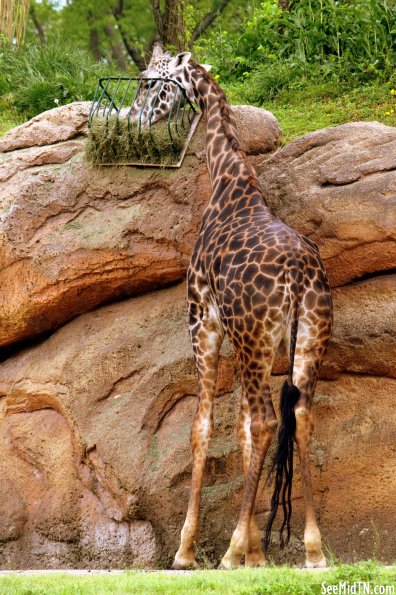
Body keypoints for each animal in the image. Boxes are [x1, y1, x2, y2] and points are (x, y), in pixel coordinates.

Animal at [138, 44, 332, 572]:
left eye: (149, 81)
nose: (135, 116)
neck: (228, 183)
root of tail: (299, 277)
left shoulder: (202, 319)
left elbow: (202, 427)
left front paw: (191, 551)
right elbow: (241, 433)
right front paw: (256, 551)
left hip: (250, 336)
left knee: (266, 421)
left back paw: (225, 555)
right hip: (304, 337)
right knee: (299, 414)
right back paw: (313, 551)